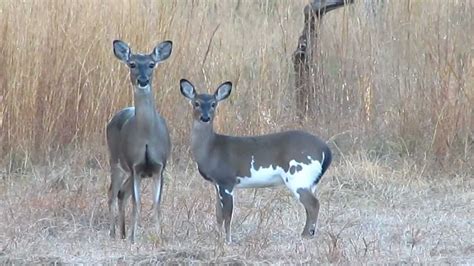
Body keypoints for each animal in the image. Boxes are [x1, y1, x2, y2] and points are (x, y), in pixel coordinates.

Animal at [106, 40, 173, 243]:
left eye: (151, 64)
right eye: (132, 64)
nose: (143, 80)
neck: (146, 138)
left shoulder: (159, 167)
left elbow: (156, 203)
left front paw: (160, 237)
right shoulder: (135, 165)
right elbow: (138, 203)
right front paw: (134, 237)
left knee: (121, 193)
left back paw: (122, 232)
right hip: (115, 161)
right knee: (112, 192)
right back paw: (114, 233)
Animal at [180, 79, 332, 243]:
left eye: (214, 104)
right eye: (196, 103)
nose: (205, 117)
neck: (211, 150)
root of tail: (326, 150)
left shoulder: (227, 181)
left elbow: (227, 215)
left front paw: (227, 241)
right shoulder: (217, 184)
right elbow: (218, 214)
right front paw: (218, 238)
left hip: (298, 175)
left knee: (313, 204)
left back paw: (306, 235)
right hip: (309, 181)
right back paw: (306, 233)